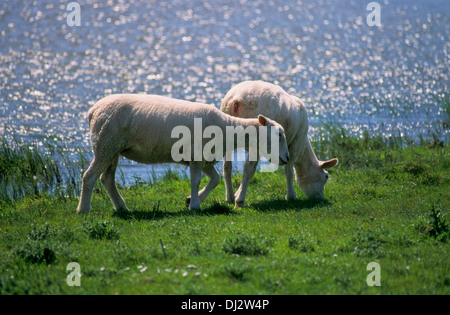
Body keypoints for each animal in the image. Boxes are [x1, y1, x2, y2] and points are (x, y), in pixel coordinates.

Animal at [77, 92, 288, 214]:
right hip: (105, 144)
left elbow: (215, 179)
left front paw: (192, 200)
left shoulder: (203, 158)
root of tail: (93, 110)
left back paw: (121, 207)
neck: (227, 129)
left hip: (113, 148)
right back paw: (83, 209)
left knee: (107, 179)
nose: (286, 159)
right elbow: (196, 180)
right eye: (279, 134)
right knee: (89, 177)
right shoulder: (197, 155)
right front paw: (195, 205)